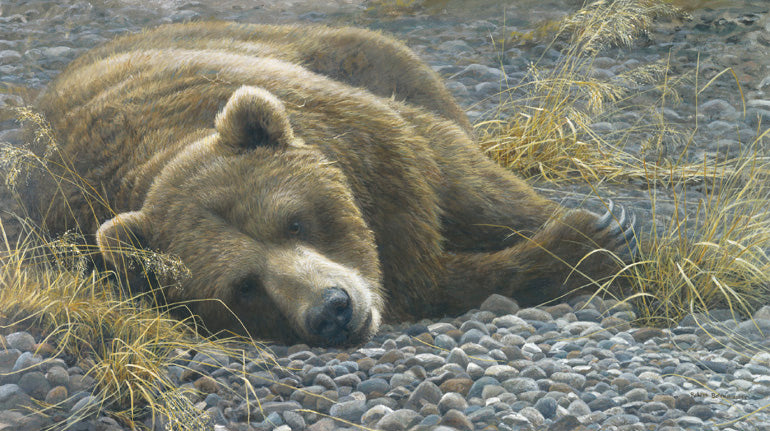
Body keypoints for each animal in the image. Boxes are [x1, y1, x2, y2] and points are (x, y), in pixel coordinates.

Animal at [23, 22, 636, 346]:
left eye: (295, 220)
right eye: (244, 286)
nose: (332, 311)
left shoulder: (379, 150)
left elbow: (466, 184)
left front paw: (605, 228)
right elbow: (435, 281)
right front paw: (585, 244)